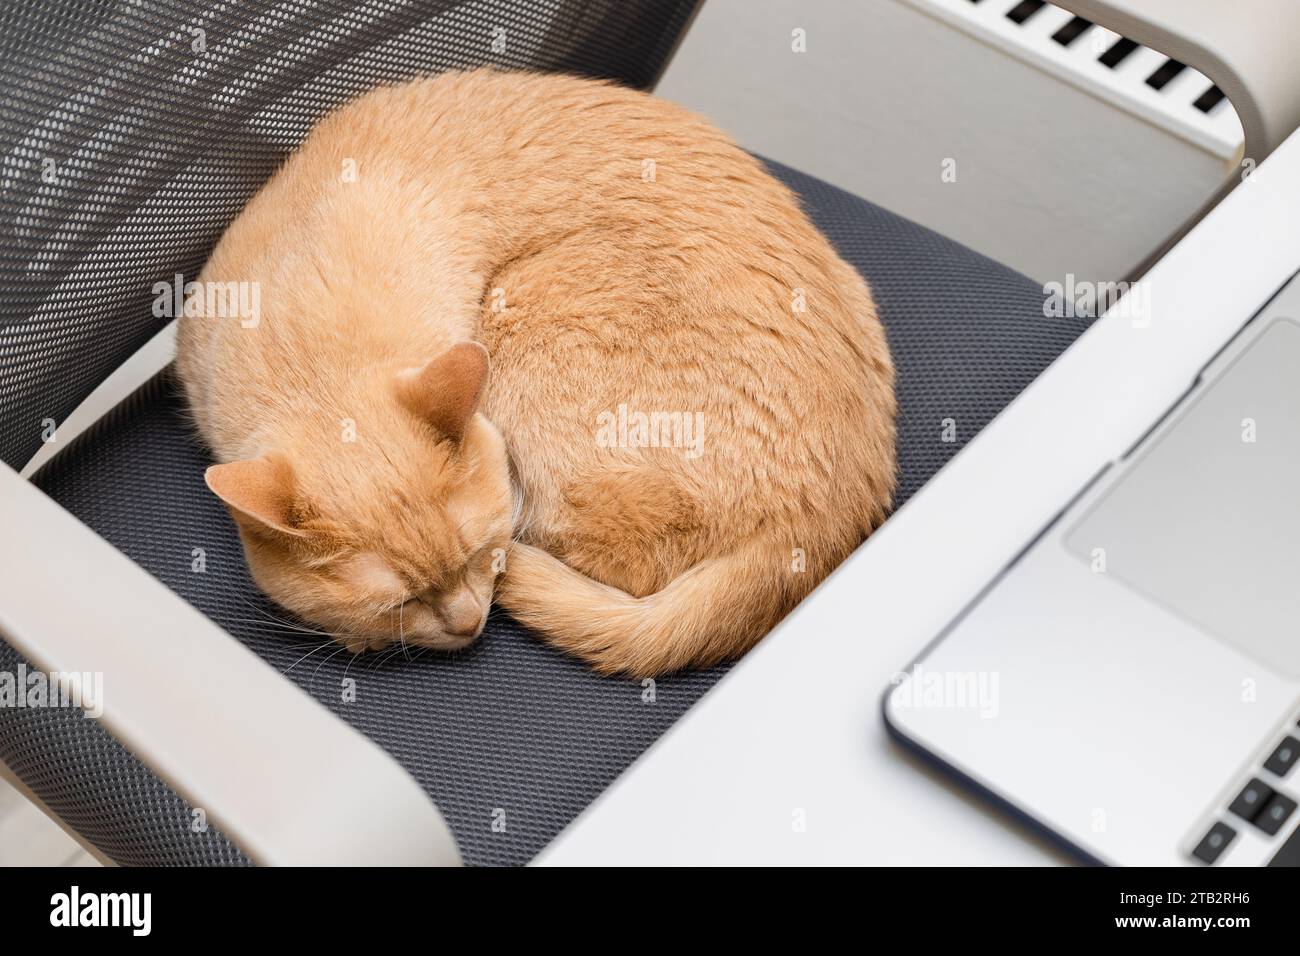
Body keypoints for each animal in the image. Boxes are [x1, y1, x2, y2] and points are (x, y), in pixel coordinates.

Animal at [178, 69, 899, 681]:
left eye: (480, 555)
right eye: (400, 604)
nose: (469, 624)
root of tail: (817, 525)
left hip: (531, 309)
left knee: (626, 562)